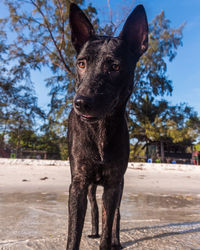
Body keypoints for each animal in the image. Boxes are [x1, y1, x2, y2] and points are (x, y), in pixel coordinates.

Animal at [67, 2, 147, 249]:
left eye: (115, 66)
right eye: (81, 63)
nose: (81, 102)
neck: (100, 129)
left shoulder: (114, 184)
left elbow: (110, 220)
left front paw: (110, 240)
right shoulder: (79, 184)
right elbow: (73, 234)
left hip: (119, 185)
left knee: (116, 215)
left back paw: (116, 240)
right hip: (92, 187)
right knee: (94, 207)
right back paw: (93, 230)